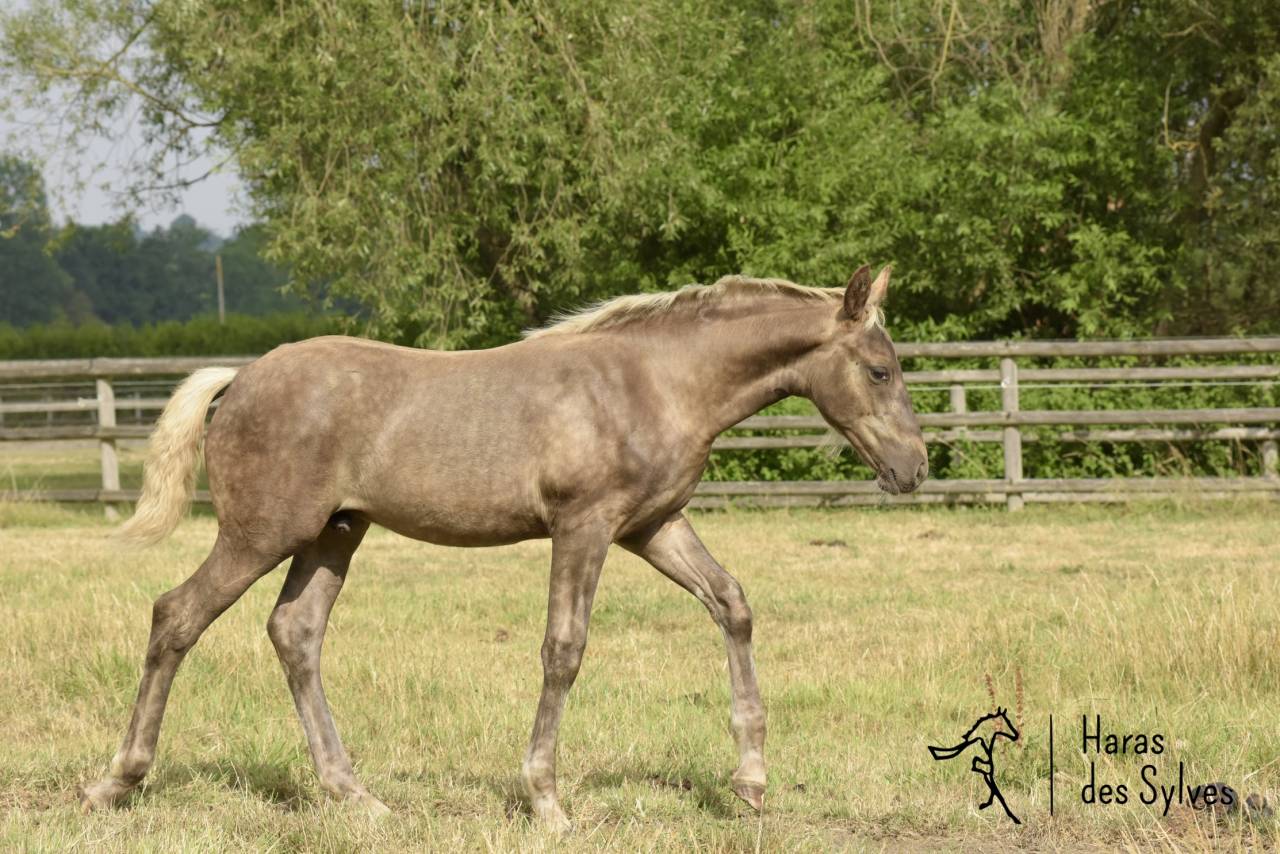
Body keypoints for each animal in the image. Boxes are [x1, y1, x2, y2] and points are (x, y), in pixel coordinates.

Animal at [79, 264, 927, 831]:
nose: (913, 468)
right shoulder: (584, 525)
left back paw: (355, 795)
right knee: (177, 615)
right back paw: (117, 782)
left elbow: (731, 603)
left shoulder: (654, 525)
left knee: (295, 632)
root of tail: (240, 378)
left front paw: (750, 779)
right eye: (880, 369)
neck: (653, 382)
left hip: (334, 533)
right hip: (261, 533)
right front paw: (546, 800)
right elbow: (564, 649)